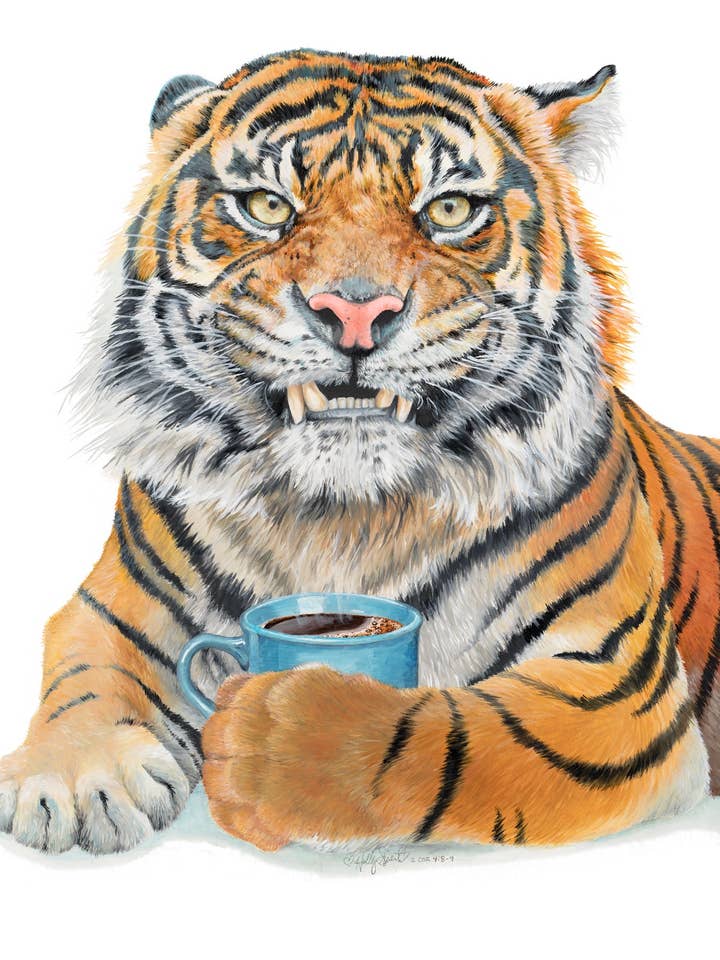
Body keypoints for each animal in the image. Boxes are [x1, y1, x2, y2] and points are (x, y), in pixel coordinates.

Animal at [0, 49, 717, 856]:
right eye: (267, 206)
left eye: (449, 210)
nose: (354, 312)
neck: (340, 517)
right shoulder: (112, 603)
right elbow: (86, 672)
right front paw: (74, 780)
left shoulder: (615, 681)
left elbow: (447, 732)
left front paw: (274, 739)